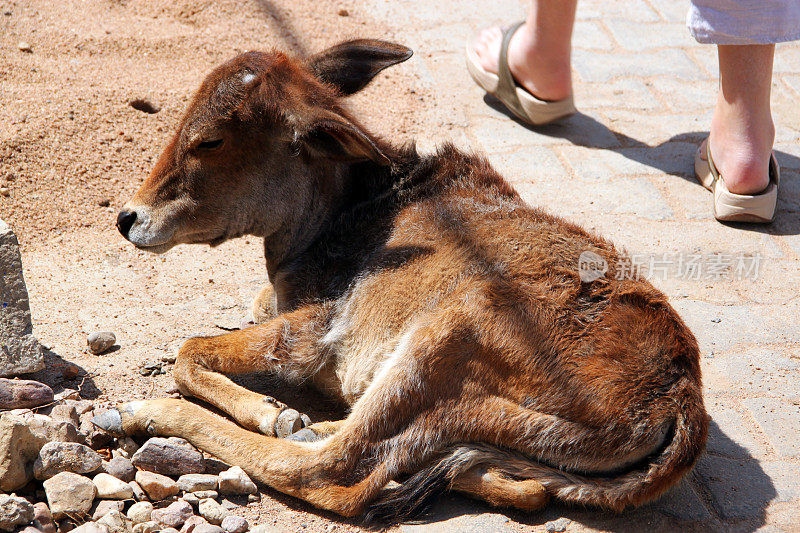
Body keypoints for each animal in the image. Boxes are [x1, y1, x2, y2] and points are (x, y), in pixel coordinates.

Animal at [98, 40, 708, 520]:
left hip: (441, 342)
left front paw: (271, 412)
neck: (353, 212)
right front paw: (281, 412)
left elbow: (189, 350)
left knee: (331, 470)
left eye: (211, 140)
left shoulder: (314, 330)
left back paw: (164, 414)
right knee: (506, 482)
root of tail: (676, 404)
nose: (129, 218)